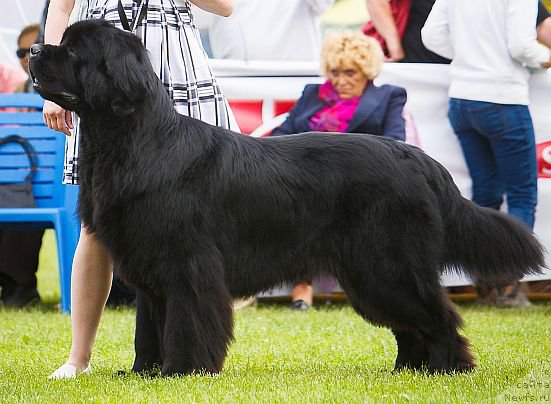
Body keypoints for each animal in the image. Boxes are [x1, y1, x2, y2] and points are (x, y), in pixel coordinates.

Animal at [32, 21, 544, 376]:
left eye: (73, 49)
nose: (35, 48)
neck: (133, 140)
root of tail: (418, 157)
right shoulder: (151, 267)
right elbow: (149, 330)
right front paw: (143, 375)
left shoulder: (187, 266)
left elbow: (184, 325)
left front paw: (181, 373)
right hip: (368, 272)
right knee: (410, 324)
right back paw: (407, 371)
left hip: (388, 264)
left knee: (438, 315)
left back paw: (448, 369)